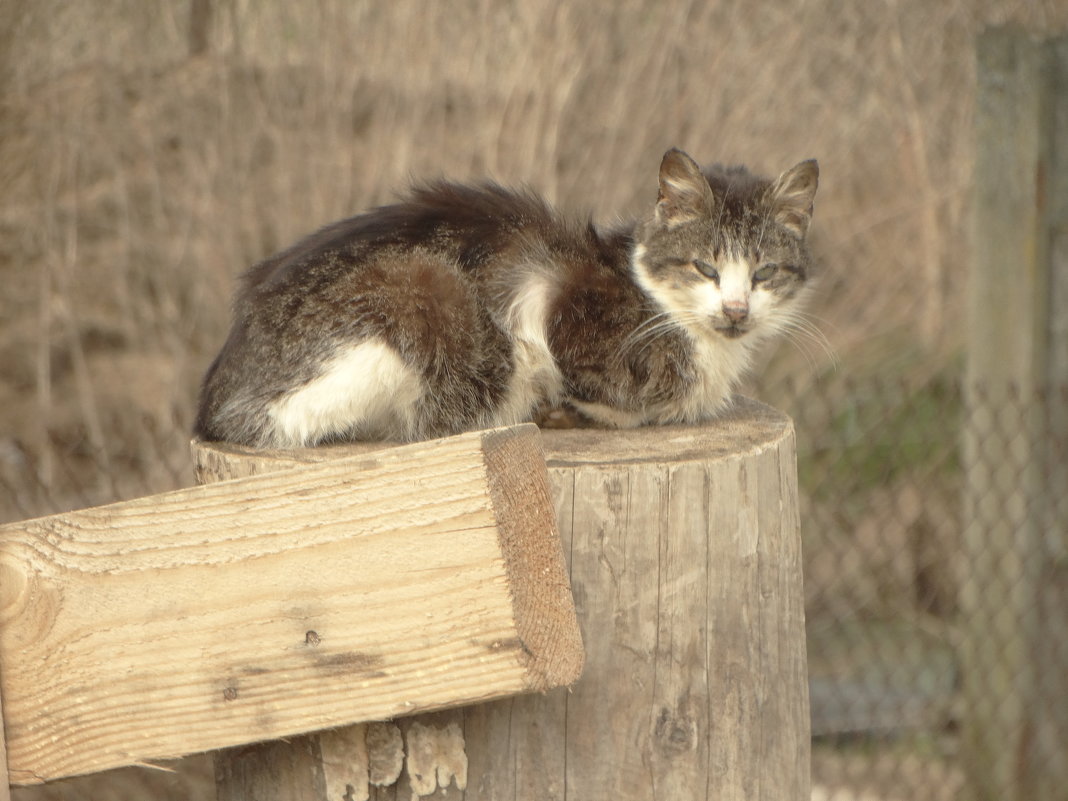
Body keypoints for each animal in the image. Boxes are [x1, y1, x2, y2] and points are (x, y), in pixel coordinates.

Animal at [194, 147, 815, 448]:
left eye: (763, 273)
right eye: (705, 267)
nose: (735, 310)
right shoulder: (554, 301)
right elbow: (607, 398)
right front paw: (564, 409)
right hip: (422, 292)